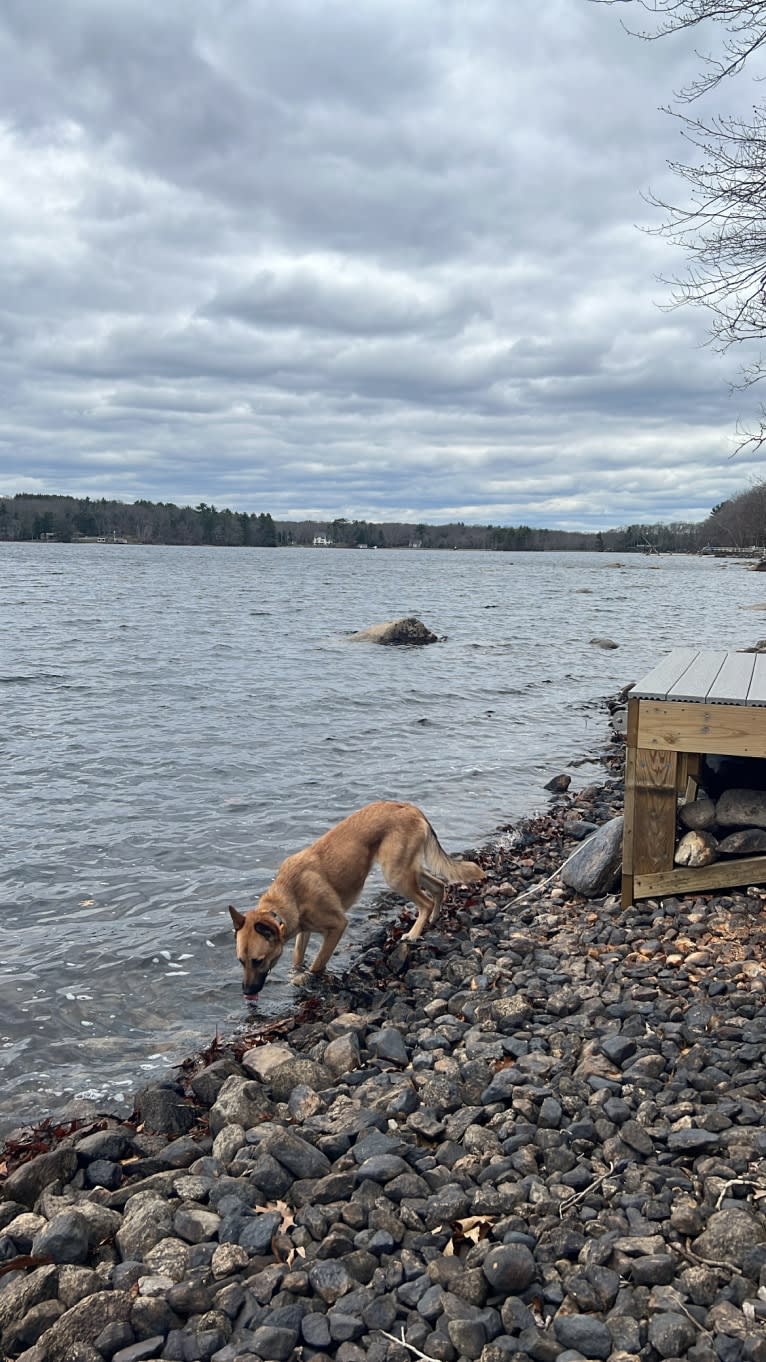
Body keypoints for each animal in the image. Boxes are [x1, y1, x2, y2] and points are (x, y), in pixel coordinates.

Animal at [226, 795, 482, 1002]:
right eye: (240, 961)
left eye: (257, 961)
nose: (246, 992)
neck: (289, 895)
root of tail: (409, 807)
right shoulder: (303, 931)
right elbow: (298, 958)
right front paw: (296, 975)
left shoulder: (337, 926)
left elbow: (318, 963)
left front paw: (311, 979)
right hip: (410, 871)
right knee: (439, 886)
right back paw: (434, 918)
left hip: (396, 875)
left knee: (425, 902)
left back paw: (413, 933)